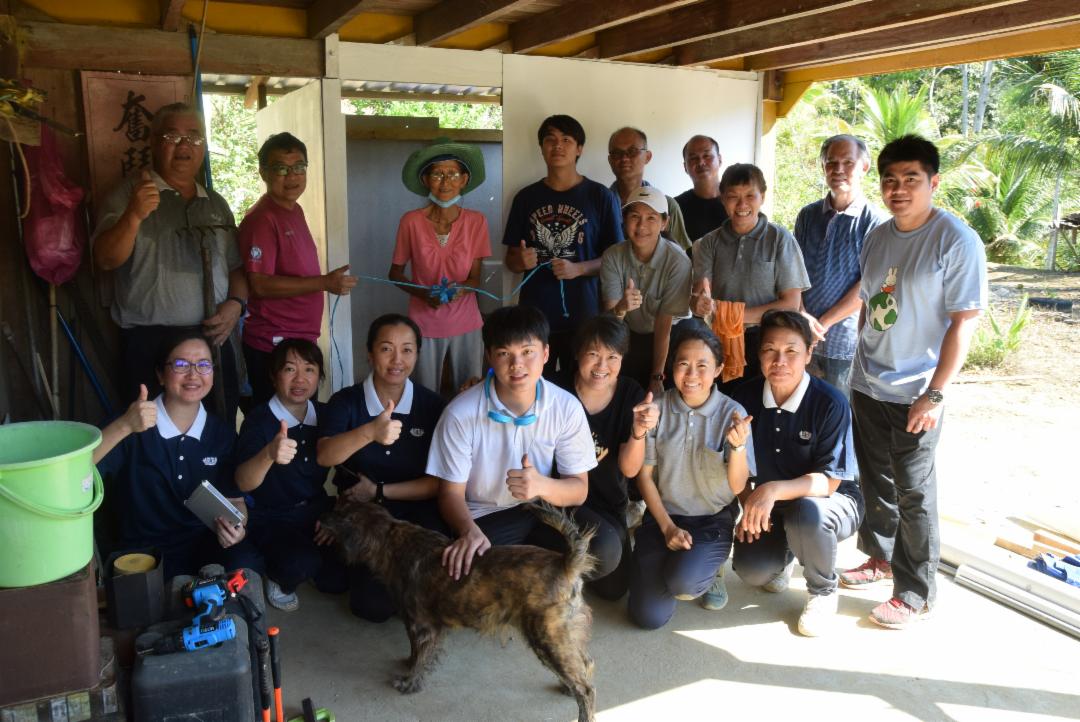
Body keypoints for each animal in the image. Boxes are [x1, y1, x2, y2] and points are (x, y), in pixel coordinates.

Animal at [319, 498, 600, 720]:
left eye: (337, 511)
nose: (319, 519)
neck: (391, 539)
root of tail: (565, 563)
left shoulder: (423, 628)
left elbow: (420, 658)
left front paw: (409, 683)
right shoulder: (419, 627)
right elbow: (414, 652)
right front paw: (408, 663)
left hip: (548, 638)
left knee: (586, 689)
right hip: (564, 636)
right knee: (586, 663)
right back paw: (567, 687)